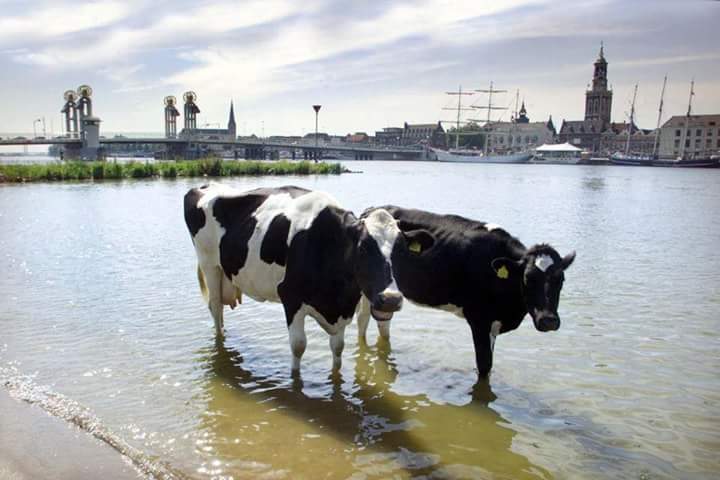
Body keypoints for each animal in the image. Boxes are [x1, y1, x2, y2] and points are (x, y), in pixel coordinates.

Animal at [186, 184, 434, 372]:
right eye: (363, 248)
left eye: (401, 251)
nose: (390, 299)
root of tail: (205, 186)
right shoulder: (290, 297)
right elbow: (298, 346)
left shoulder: (343, 309)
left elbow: (338, 347)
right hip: (209, 264)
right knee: (215, 307)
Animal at [358, 206, 576, 378]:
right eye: (528, 279)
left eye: (561, 280)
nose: (548, 320)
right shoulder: (479, 320)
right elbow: (484, 365)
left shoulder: (493, 322)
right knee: (364, 319)